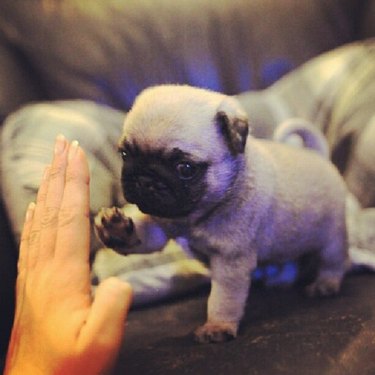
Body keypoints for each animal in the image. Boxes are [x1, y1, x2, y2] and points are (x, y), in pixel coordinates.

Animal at [94, 84, 350, 344]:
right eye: (125, 154)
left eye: (185, 168)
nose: (145, 179)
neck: (194, 217)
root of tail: (318, 156)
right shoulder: (160, 225)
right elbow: (146, 235)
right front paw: (117, 230)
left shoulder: (230, 261)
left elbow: (223, 299)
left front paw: (218, 326)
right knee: (288, 259)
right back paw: (281, 280)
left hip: (331, 238)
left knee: (334, 261)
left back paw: (325, 284)